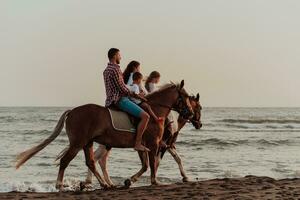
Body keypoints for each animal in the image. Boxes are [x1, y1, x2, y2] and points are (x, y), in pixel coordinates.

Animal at [15, 80, 192, 190]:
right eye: (185, 97)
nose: (190, 113)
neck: (155, 112)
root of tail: (72, 111)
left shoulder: (145, 146)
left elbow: (146, 165)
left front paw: (129, 181)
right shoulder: (153, 144)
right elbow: (152, 165)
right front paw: (155, 182)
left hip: (88, 143)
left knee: (91, 162)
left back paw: (104, 184)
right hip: (78, 143)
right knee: (67, 161)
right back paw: (60, 185)